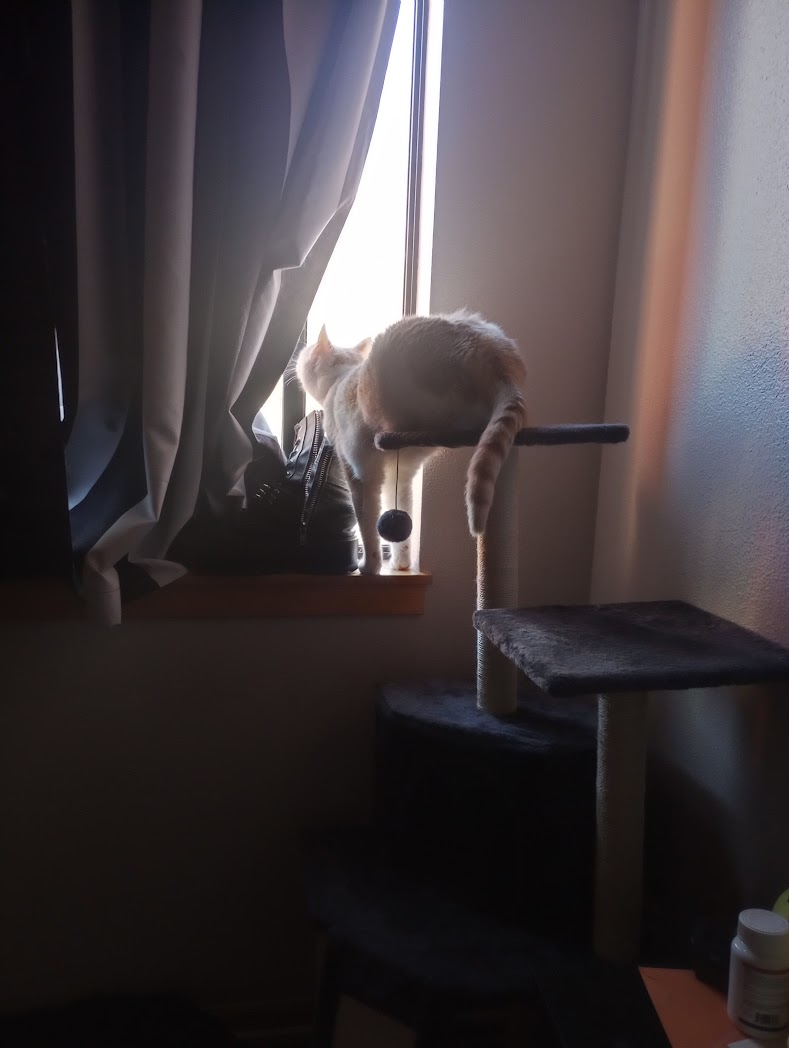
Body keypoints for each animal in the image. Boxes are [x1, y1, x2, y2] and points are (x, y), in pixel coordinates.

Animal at [296, 310, 527, 575]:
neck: (340, 379)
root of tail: (500, 364)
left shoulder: (360, 471)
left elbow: (366, 523)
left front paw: (370, 567)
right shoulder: (400, 476)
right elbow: (401, 515)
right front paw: (401, 564)